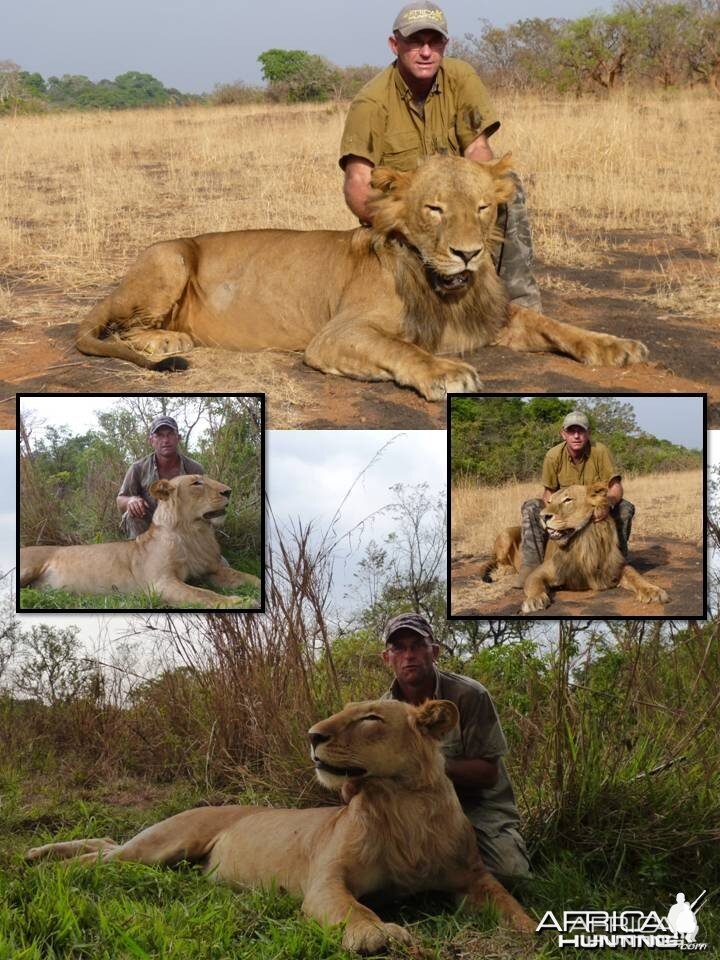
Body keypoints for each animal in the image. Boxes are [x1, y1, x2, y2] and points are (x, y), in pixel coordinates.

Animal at [17, 472, 262, 608]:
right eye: (197, 483)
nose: (228, 491)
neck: (193, 532)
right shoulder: (160, 583)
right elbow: (203, 594)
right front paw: (240, 601)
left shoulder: (211, 570)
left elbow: (250, 577)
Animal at [25, 696, 536, 952]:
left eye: (370, 718)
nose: (312, 735)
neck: (403, 804)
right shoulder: (325, 880)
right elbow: (354, 909)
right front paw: (376, 935)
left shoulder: (472, 877)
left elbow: (510, 904)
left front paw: (536, 928)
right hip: (162, 846)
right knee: (106, 853)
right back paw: (42, 862)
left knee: (106, 842)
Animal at [76, 156, 648, 400]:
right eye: (435, 209)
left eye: (483, 207)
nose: (468, 254)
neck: (442, 287)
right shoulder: (334, 336)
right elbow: (403, 348)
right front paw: (446, 373)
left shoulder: (493, 316)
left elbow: (557, 327)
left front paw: (616, 345)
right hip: (169, 258)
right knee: (120, 326)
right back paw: (166, 339)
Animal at [478, 480, 668, 616]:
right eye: (549, 501)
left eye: (567, 500)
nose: (543, 516)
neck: (582, 542)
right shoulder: (542, 572)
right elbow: (535, 585)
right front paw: (534, 600)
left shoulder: (614, 567)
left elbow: (635, 576)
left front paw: (653, 591)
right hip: (505, 535)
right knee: (500, 561)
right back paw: (508, 570)